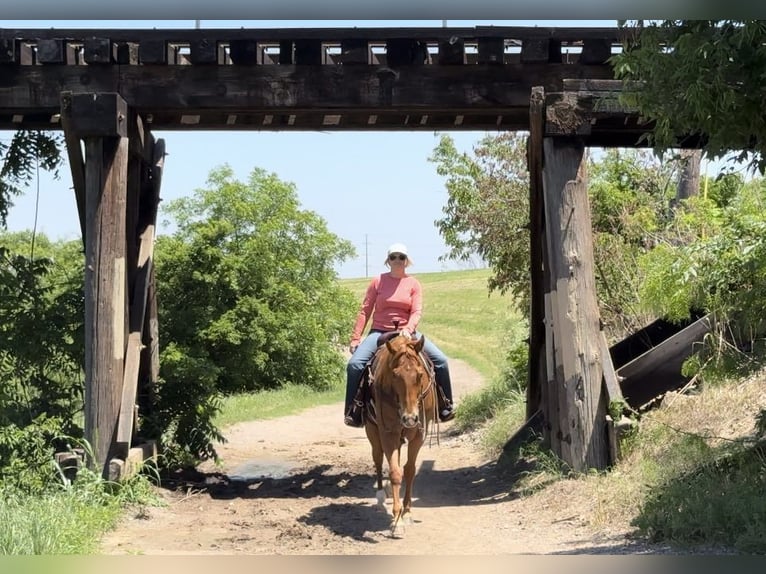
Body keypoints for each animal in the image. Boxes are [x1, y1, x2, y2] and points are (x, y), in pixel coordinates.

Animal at [366, 336, 438, 536]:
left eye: (419, 375)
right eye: (395, 376)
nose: (410, 418)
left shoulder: (419, 434)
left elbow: (410, 470)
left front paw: (406, 513)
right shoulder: (388, 432)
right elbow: (395, 472)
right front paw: (397, 522)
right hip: (372, 431)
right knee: (378, 459)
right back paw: (381, 497)